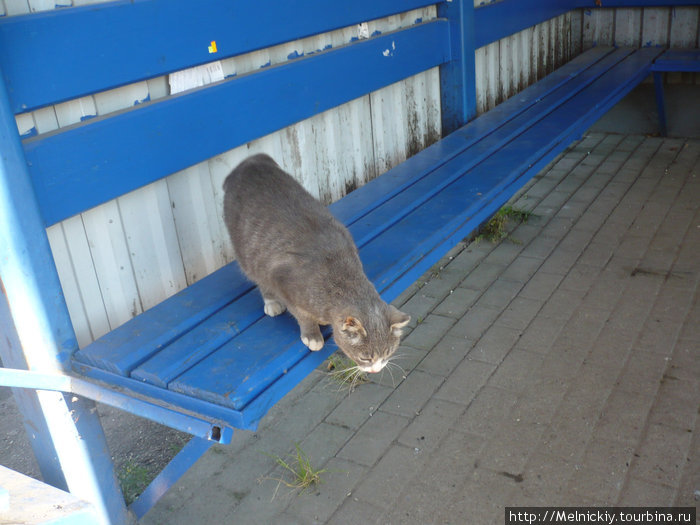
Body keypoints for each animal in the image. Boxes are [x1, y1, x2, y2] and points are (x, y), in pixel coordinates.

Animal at [224, 152, 410, 372]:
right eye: (365, 357)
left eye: (387, 353)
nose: (376, 369)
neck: (341, 278)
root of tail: (251, 161)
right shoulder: (284, 282)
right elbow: (301, 314)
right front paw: (312, 335)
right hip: (249, 254)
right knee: (259, 278)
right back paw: (271, 302)